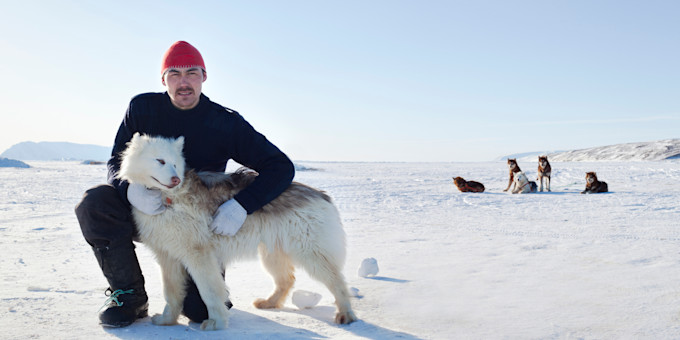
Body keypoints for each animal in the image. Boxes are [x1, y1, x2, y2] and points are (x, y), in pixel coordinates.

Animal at [117, 134, 358, 330]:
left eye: (176, 164)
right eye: (160, 161)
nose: (176, 179)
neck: (168, 199)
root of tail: (321, 194)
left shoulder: (199, 256)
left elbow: (210, 292)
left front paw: (216, 323)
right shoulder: (168, 257)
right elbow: (172, 293)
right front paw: (167, 320)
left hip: (311, 254)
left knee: (337, 282)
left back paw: (346, 314)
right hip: (272, 254)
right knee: (286, 280)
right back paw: (270, 303)